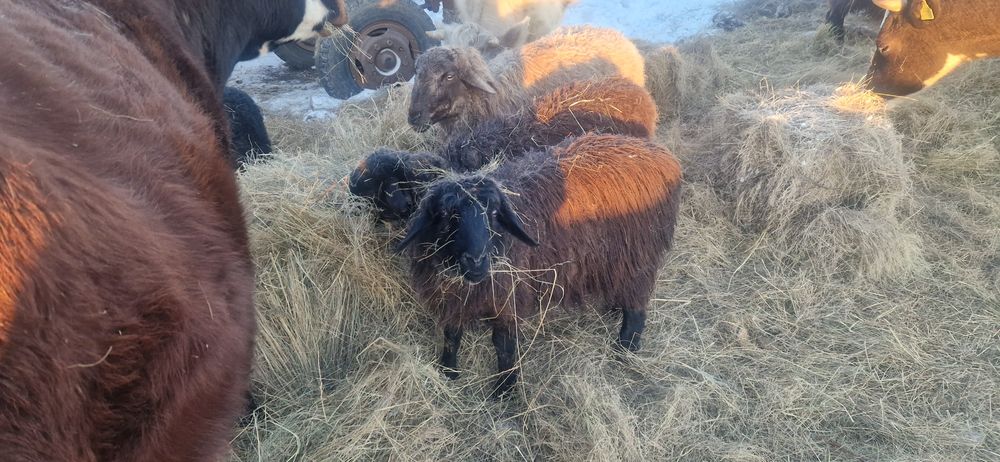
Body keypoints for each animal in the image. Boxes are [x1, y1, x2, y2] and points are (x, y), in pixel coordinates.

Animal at [395, 133, 683, 398]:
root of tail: (664, 156)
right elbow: (451, 335)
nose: (476, 260)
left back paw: (624, 350)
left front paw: (505, 389)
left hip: (639, 257)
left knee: (637, 309)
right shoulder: (453, 297)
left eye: (494, 214)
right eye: (445, 215)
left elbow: (503, 344)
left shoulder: (510, 296)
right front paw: (448, 372)